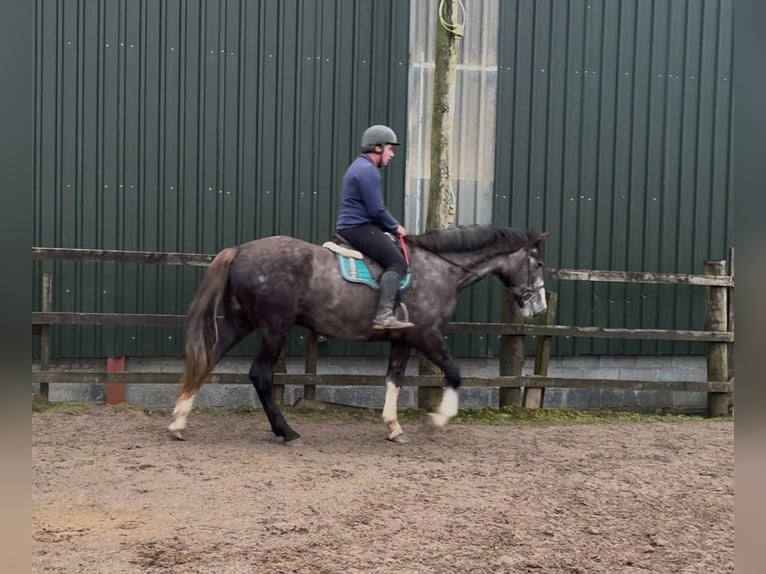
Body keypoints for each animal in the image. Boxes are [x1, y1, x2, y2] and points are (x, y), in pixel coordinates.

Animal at [168, 225, 550, 444]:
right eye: (539, 263)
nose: (539, 307)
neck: (441, 268)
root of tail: (240, 251)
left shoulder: (403, 339)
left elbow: (394, 379)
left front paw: (393, 427)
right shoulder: (427, 335)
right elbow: (455, 373)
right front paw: (438, 420)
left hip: (242, 322)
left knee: (208, 359)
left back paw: (178, 422)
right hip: (274, 327)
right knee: (259, 375)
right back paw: (286, 432)